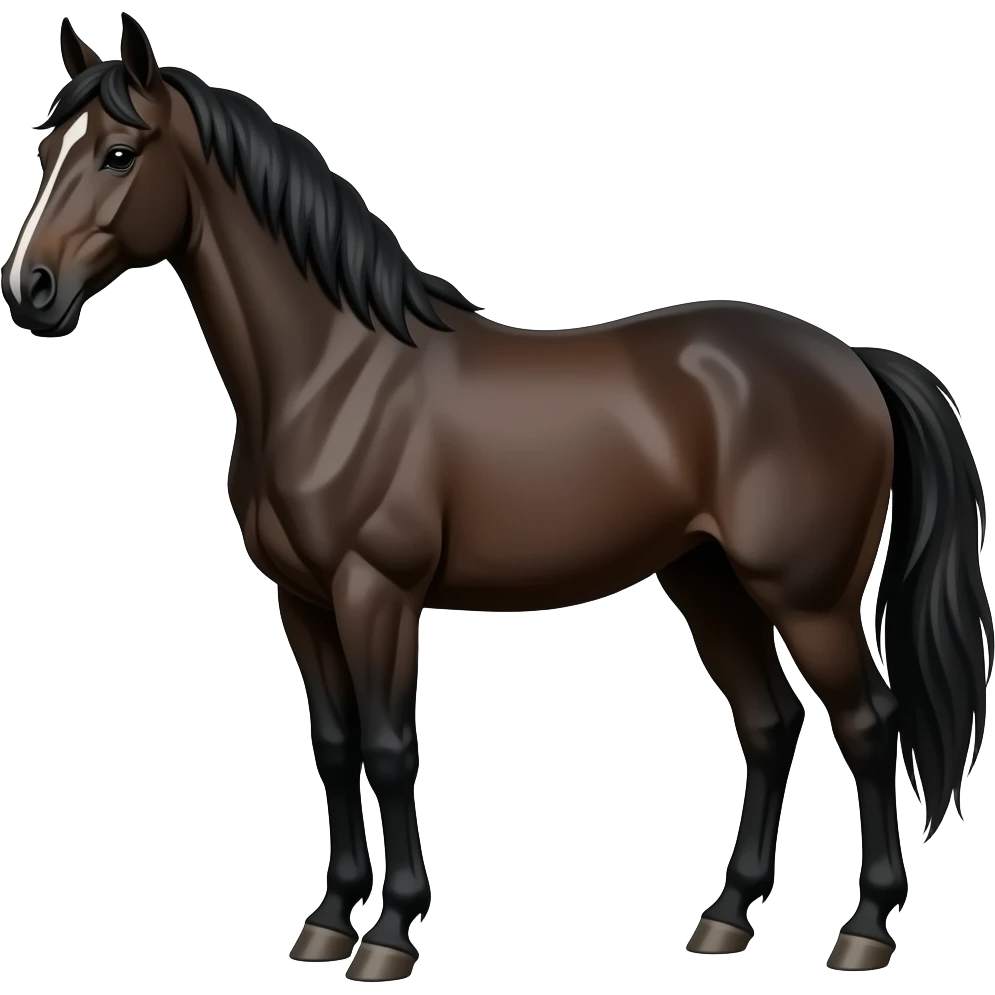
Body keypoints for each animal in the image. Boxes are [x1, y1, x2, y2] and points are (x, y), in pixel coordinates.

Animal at [3, 14, 991, 980]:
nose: (31, 290)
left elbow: (390, 748)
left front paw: (389, 935)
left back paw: (863, 928)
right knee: (769, 722)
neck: (331, 373)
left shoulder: (377, 592)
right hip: (707, 580)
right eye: (46, 148)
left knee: (868, 724)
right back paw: (724, 917)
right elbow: (334, 746)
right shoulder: (302, 599)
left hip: (806, 596)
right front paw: (325, 921)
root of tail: (853, 360)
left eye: (119, 153)